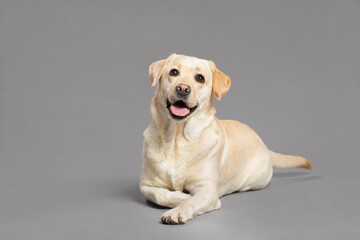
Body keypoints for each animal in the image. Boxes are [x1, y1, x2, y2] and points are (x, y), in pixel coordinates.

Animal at [139, 53, 310, 224]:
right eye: (174, 72)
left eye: (200, 78)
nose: (182, 88)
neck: (177, 139)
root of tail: (264, 145)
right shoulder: (145, 185)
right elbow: (159, 195)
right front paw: (181, 196)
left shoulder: (208, 190)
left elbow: (193, 200)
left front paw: (178, 209)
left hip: (255, 180)